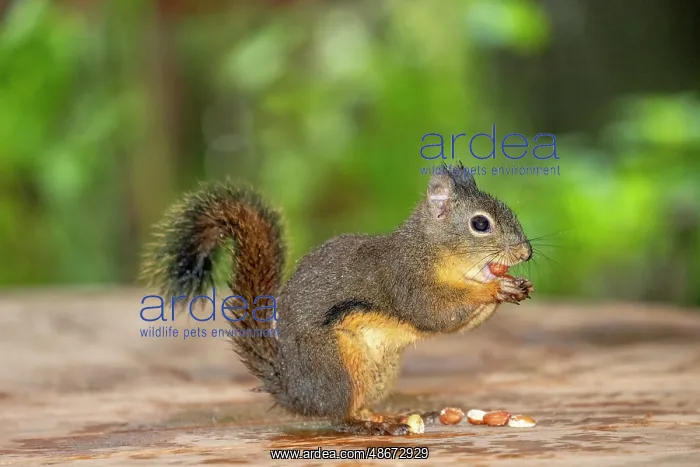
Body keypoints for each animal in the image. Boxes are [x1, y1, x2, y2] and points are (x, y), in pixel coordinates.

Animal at [140, 162, 534, 436]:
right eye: (480, 224)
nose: (526, 252)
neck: (431, 249)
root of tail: (294, 390)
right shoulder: (405, 280)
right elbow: (435, 313)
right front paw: (495, 289)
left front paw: (515, 285)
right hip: (337, 365)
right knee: (340, 418)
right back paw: (371, 427)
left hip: (377, 373)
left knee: (356, 408)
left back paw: (386, 416)